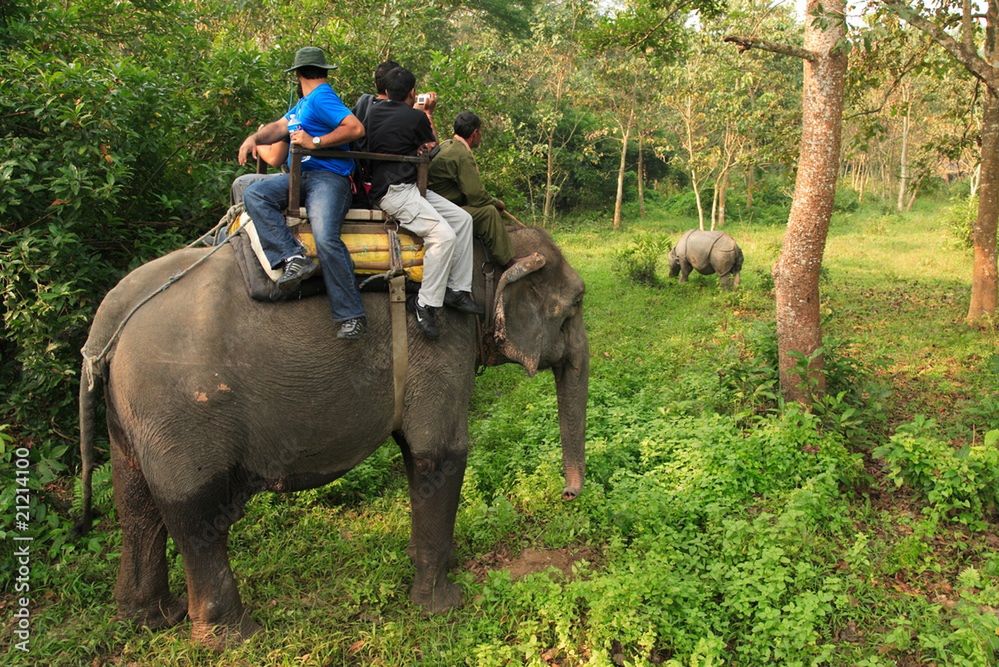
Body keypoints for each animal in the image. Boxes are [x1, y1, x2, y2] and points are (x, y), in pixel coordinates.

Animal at [82, 223, 588, 648]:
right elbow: (438, 454)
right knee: (196, 516)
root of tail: (109, 322)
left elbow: (419, 456)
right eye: (575, 305)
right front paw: (443, 605)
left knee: (136, 504)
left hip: (137, 416)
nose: (568, 495)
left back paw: (148, 618)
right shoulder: (441, 338)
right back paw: (233, 638)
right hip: (182, 412)